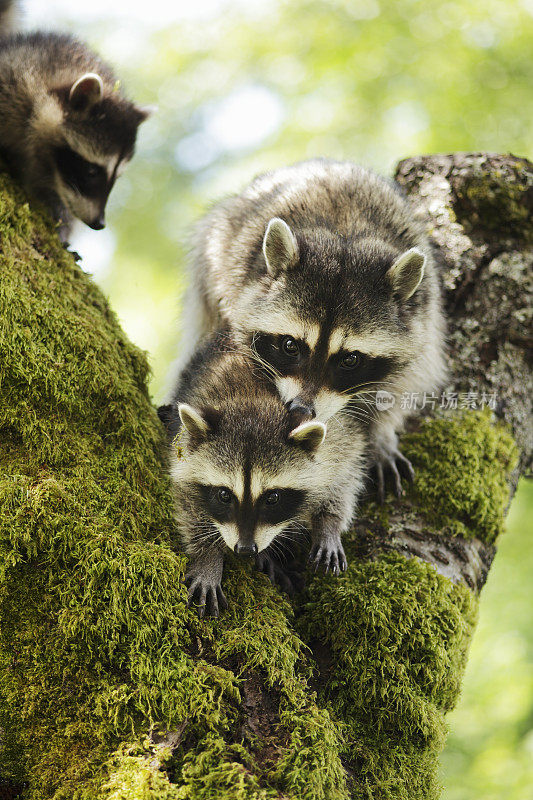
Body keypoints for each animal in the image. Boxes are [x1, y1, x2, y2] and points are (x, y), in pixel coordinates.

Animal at [158, 334, 366, 616]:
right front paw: (208, 556)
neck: (253, 404)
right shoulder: (182, 449)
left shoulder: (338, 433)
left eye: (273, 498)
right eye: (224, 495)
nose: (246, 550)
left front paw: (329, 523)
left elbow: (345, 471)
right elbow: (187, 499)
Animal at [183, 157, 444, 500]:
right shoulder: (234, 288)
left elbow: (406, 383)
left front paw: (381, 433)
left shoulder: (424, 318)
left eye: (350, 359)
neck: (344, 236)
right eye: (290, 345)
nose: (302, 411)